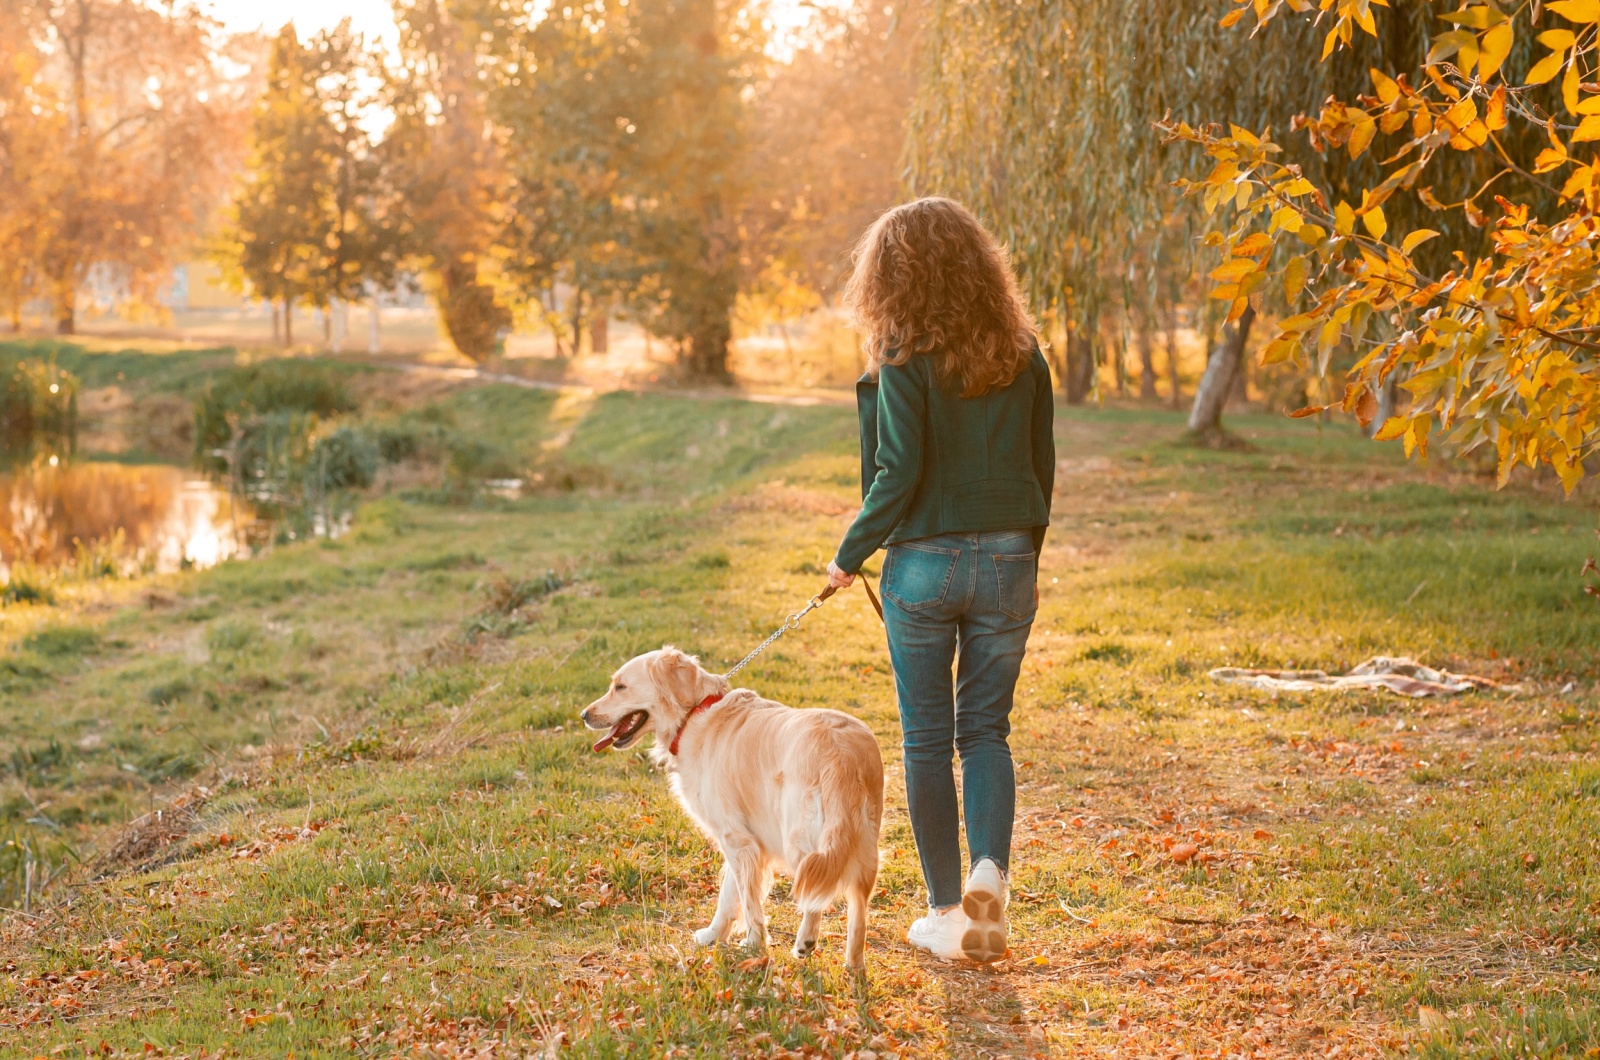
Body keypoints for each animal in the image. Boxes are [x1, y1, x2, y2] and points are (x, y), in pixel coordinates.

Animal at [585, 646, 889, 973]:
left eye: (620, 687)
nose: (583, 715)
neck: (692, 715)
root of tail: (843, 753)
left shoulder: (736, 839)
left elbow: (747, 899)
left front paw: (754, 945)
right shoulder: (741, 840)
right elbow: (729, 893)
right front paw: (713, 935)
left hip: (799, 839)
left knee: (814, 895)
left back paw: (806, 941)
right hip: (864, 845)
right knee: (859, 910)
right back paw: (854, 966)